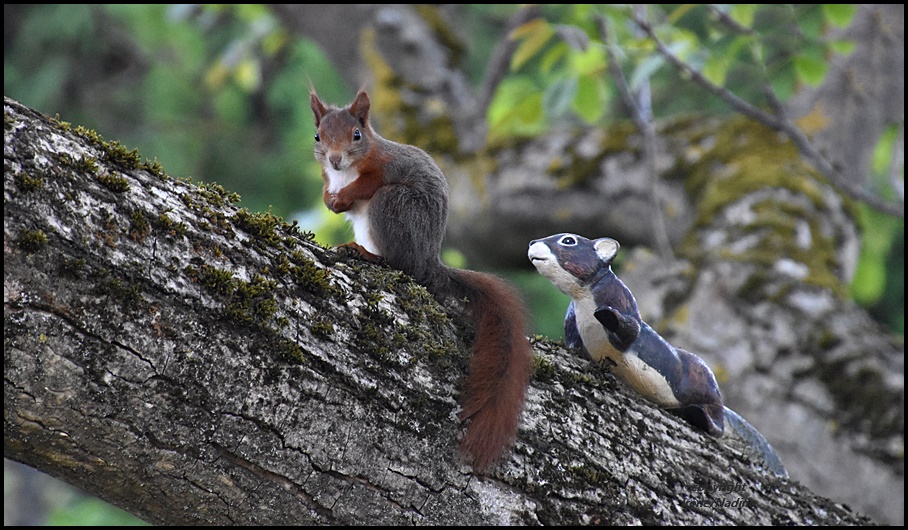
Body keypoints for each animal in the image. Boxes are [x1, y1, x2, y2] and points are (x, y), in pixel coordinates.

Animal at [308, 87, 536, 470]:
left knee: (403, 265)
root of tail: (430, 259)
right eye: (317, 136)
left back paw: (367, 254)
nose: (335, 160)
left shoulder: (386, 168)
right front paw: (330, 199)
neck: (348, 169)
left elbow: (369, 182)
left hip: (394, 206)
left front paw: (344, 196)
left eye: (357, 135)